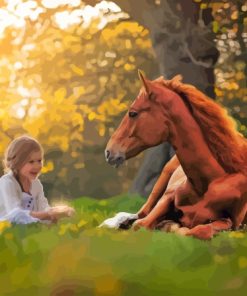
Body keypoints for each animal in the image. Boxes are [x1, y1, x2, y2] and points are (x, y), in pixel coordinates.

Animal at [105, 71, 247, 240]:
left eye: (133, 113)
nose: (108, 152)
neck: (208, 182)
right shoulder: (167, 198)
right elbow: (140, 225)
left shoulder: (233, 224)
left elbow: (199, 230)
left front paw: (172, 226)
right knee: (139, 214)